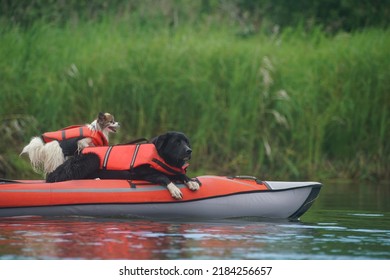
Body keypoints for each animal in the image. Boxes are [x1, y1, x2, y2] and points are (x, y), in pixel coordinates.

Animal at [46, 132, 200, 199]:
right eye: (176, 142)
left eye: (186, 142)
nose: (189, 150)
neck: (159, 155)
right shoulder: (142, 171)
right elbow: (163, 176)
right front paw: (174, 189)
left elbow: (179, 173)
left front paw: (191, 182)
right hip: (92, 158)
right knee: (56, 177)